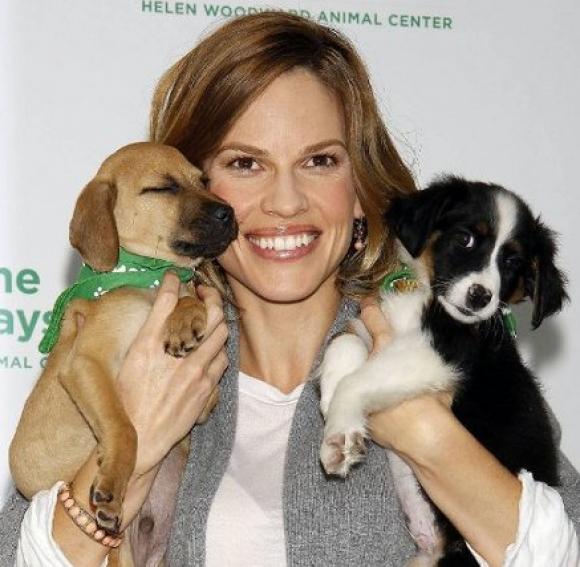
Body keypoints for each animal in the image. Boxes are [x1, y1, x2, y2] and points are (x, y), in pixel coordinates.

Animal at [9, 143, 237, 560]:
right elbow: (124, 427)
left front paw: (185, 316)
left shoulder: (203, 399)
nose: (228, 213)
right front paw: (112, 484)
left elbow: (189, 295)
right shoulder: (85, 363)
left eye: (203, 181)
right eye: (162, 188)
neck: (146, 274)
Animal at [319, 176, 567, 565]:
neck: (425, 295)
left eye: (512, 261)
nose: (481, 296)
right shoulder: (380, 326)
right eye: (465, 239)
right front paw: (329, 392)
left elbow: (358, 382)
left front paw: (339, 434)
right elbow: (345, 338)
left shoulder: (440, 355)